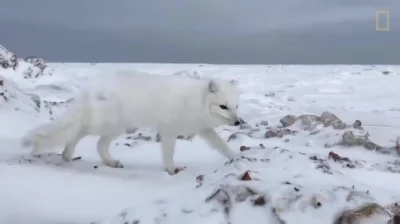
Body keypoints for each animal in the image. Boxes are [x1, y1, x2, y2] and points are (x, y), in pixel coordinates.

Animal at [21, 71, 241, 174]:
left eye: (235, 106)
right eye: (223, 106)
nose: (238, 123)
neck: (195, 101)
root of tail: (90, 88)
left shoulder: (204, 129)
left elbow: (221, 145)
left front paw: (235, 158)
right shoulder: (169, 130)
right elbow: (169, 152)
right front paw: (171, 169)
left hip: (116, 127)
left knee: (99, 145)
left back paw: (110, 162)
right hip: (104, 124)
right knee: (78, 132)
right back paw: (67, 155)